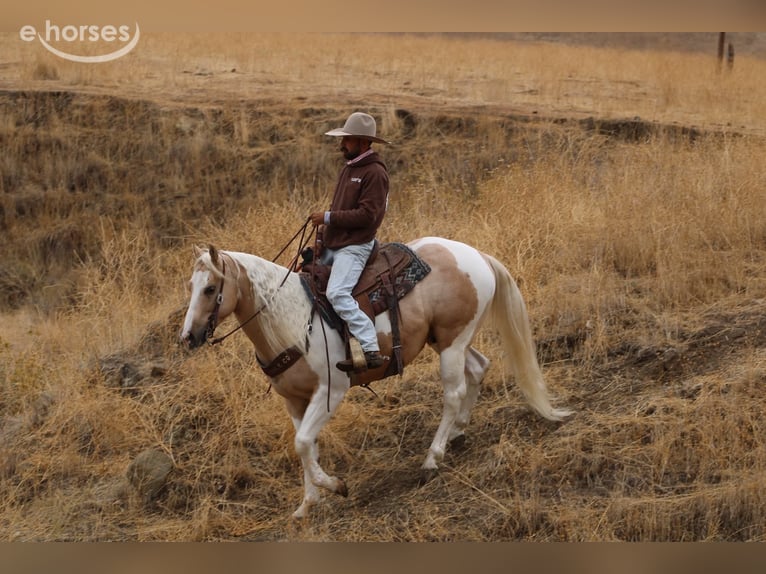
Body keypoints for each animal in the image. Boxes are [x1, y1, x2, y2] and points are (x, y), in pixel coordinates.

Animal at [179, 236, 571, 518]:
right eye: (190, 286)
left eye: (210, 289)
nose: (188, 337)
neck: (290, 317)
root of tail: (475, 254)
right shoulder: (294, 401)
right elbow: (305, 447)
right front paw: (308, 503)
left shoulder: (331, 391)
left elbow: (303, 444)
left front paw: (335, 486)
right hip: (447, 341)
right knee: (478, 368)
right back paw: (458, 433)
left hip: (451, 344)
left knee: (454, 393)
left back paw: (433, 457)